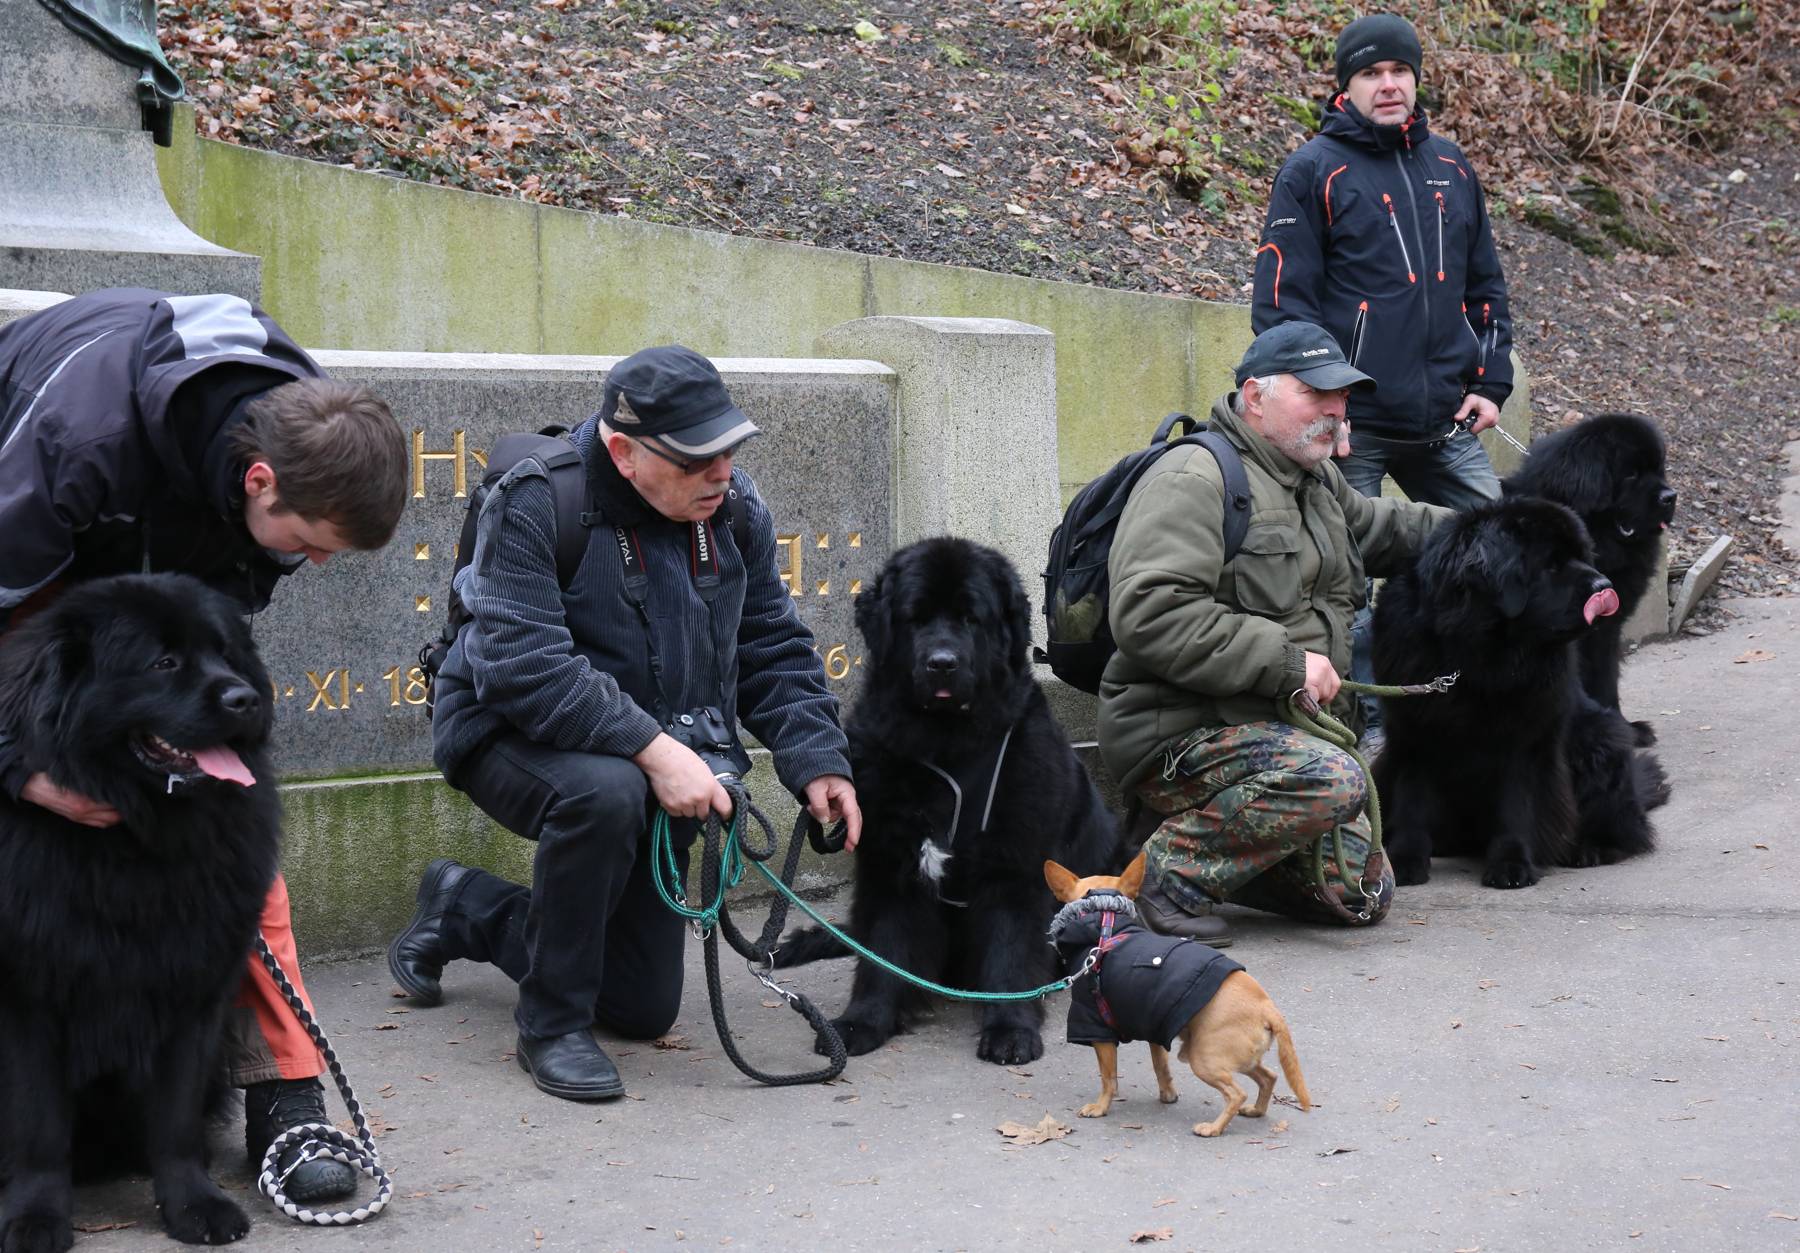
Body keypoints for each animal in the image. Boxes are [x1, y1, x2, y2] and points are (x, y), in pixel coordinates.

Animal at [0, 574, 280, 1249]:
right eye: (164, 663)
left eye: (226, 653)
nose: (244, 699)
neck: (137, 844)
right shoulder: (27, 998)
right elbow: (37, 1123)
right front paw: (36, 1216)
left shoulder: (193, 990)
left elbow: (173, 1119)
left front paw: (194, 1204)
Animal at [777, 537, 1118, 1065]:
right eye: (916, 617)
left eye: (970, 618)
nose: (942, 662)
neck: (944, 744)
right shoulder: (890, 863)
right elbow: (883, 950)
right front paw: (863, 1021)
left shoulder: (1014, 864)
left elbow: (1010, 951)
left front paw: (1010, 1029)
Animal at [1044, 852, 1310, 1137]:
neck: (1106, 920)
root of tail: (1267, 1008)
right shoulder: (1154, 1026)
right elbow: (1161, 1066)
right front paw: (1168, 1095)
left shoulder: (1098, 1029)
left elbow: (1109, 1078)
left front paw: (1101, 1106)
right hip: (1239, 1059)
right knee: (1268, 1077)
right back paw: (1257, 1111)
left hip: (1205, 1060)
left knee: (1236, 1094)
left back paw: (1213, 1128)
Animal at [1372, 498, 1670, 888]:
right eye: (1551, 565)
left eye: (1582, 555)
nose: (1604, 584)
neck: (1476, 657)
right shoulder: (1413, 735)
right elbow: (1411, 801)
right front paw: (1404, 859)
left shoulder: (1526, 739)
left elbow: (1517, 806)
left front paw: (1511, 865)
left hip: (1601, 738)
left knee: (1625, 826)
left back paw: (1590, 848)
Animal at [1504, 413, 1676, 743]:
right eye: (1631, 474)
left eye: (1658, 468)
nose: (1670, 497)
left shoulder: (1604, 629)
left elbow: (1605, 678)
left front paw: (1624, 728)